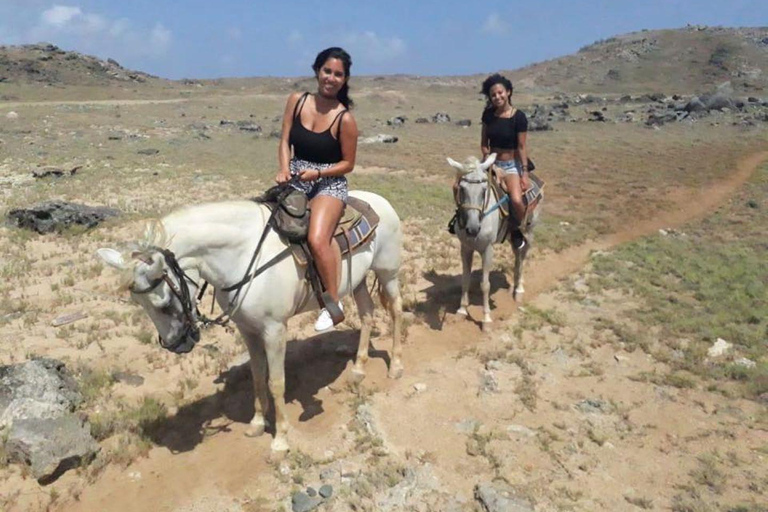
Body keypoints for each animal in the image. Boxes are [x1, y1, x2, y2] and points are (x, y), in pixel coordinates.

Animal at [99, 190, 404, 450]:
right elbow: (258, 376)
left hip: (387, 273)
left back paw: (396, 367)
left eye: (162, 305)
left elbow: (276, 382)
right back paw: (358, 369)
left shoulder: (275, 330)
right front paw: (257, 423)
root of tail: (381, 200)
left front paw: (280, 439)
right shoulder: (247, 329)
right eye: (138, 305)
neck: (243, 256)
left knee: (396, 312)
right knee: (367, 314)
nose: (177, 344)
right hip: (359, 280)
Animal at [448, 153, 536, 328]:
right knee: (517, 254)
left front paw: (486, 319)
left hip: (529, 232)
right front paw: (462, 310)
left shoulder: (487, 250)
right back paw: (514, 286)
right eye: (461, 188)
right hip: (512, 237)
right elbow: (465, 279)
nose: (473, 229)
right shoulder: (465, 248)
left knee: (523, 256)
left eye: (484, 190)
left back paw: (519, 290)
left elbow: (485, 285)